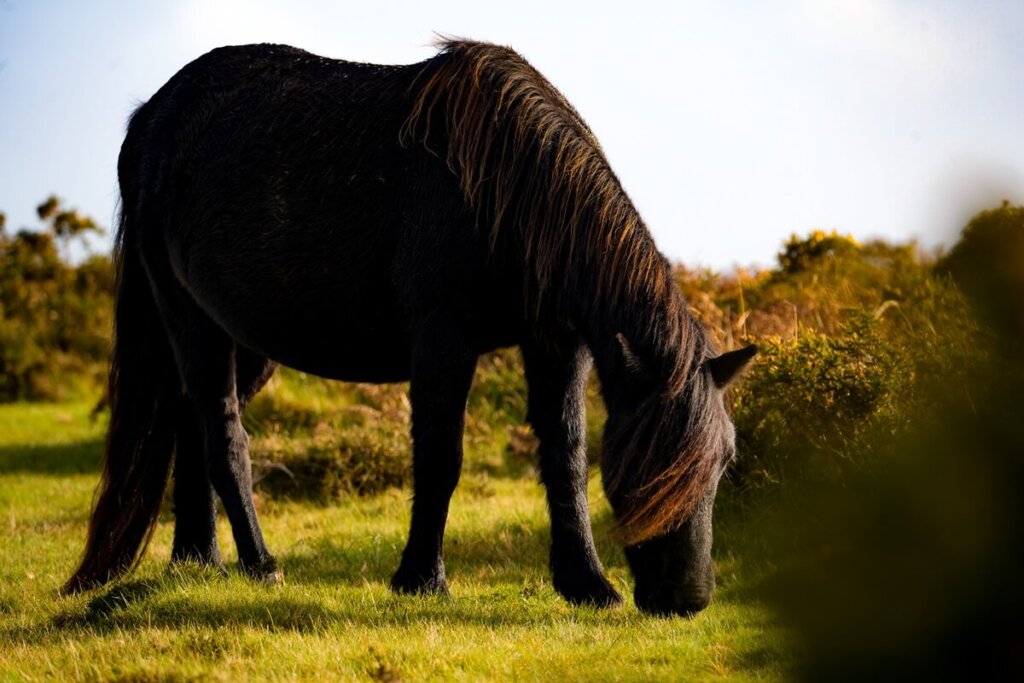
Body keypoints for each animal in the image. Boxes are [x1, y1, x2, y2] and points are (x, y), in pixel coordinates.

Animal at [64, 40, 753, 618]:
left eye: (723, 462)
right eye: (649, 465)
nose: (687, 599)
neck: (502, 181)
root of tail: (150, 118)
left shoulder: (557, 347)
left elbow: (565, 457)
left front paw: (585, 583)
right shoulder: (443, 343)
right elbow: (441, 459)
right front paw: (422, 578)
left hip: (237, 340)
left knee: (190, 426)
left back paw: (197, 559)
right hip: (191, 323)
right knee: (224, 437)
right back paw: (260, 565)